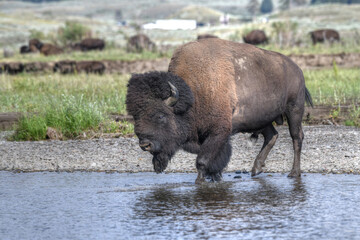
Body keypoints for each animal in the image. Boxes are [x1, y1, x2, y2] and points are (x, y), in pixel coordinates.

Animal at [126, 38, 312, 184]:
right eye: (135, 116)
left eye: (160, 115)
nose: (145, 144)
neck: (194, 92)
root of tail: (297, 69)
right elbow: (216, 160)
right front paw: (216, 177)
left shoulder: (218, 133)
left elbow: (202, 160)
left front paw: (200, 181)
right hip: (262, 119)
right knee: (271, 136)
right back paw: (256, 169)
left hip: (294, 109)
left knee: (296, 138)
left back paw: (293, 173)